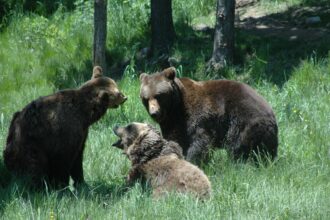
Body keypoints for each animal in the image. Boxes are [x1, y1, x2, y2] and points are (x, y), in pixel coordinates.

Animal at [139, 68, 278, 164]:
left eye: (158, 95)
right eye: (146, 98)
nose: (154, 113)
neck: (176, 108)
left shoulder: (197, 117)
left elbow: (200, 140)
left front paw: (193, 161)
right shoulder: (173, 123)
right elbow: (175, 140)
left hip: (244, 119)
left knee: (238, 145)